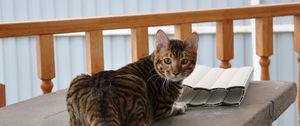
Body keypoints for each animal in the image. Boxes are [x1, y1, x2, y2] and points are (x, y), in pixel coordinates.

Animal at [66, 29, 198, 126]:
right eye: (167, 60)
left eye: (184, 61)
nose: (175, 72)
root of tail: (100, 98)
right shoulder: (162, 109)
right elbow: (175, 108)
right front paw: (181, 105)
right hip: (137, 83)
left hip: (78, 79)